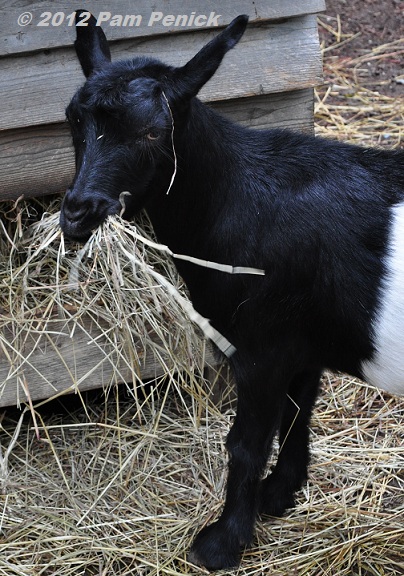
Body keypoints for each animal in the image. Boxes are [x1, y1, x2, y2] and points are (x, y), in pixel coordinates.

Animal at [60, 13, 404, 572]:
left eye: (153, 132)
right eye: (74, 121)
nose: (77, 212)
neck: (234, 196)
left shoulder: (261, 344)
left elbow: (245, 443)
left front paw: (221, 543)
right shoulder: (299, 339)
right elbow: (299, 409)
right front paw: (280, 494)